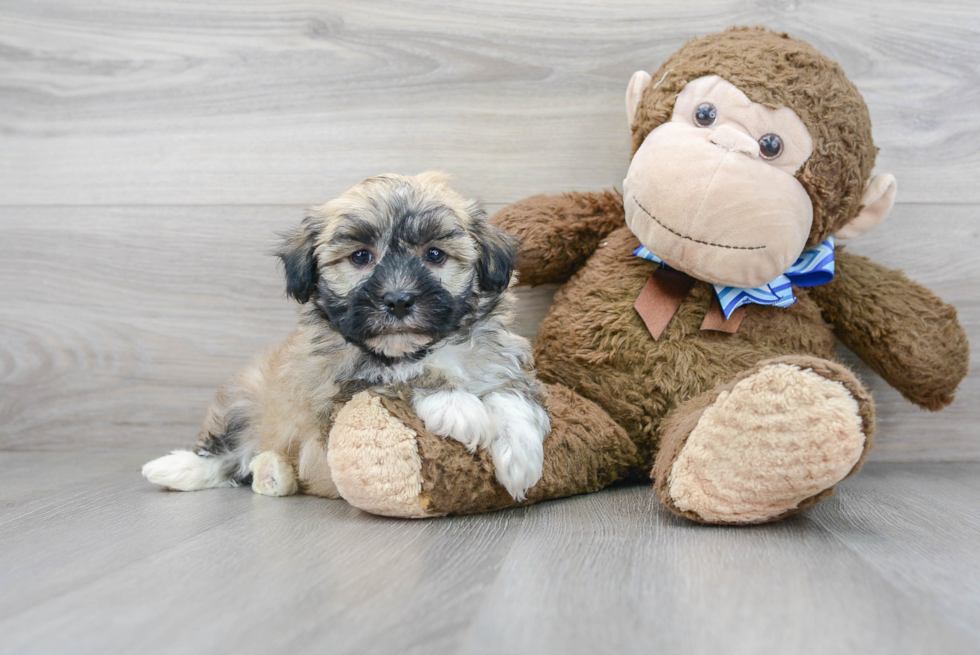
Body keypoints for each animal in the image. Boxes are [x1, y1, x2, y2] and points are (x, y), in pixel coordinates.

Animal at [140, 173, 552, 502]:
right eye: (360, 257)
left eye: (434, 254)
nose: (398, 299)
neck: (422, 348)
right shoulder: (338, 388)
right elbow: (400, 374)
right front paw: (457, 405)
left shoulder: (499, 359)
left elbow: (509, 393)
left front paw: (520, 455)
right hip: (244, 401)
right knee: (227, 452)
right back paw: (178, 468)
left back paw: (272, 473)